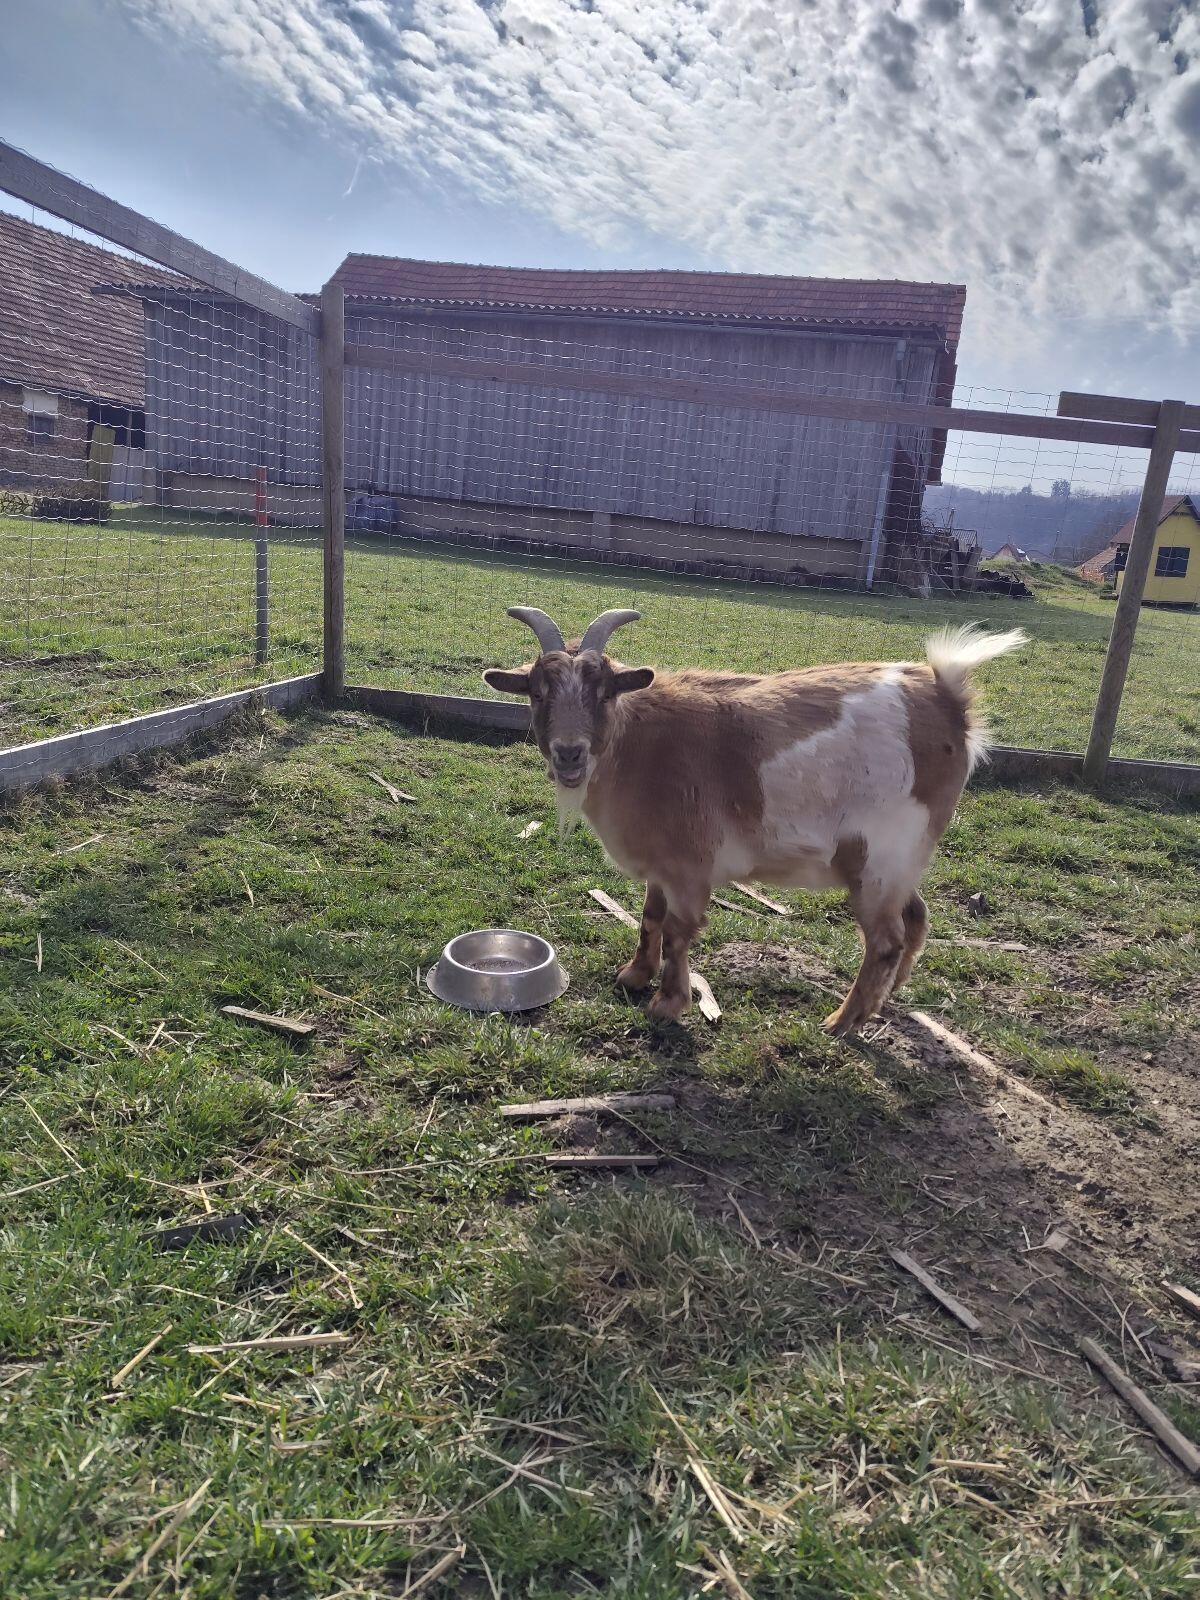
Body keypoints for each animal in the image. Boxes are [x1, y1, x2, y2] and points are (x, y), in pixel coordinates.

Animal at [484, 607, 1025, 1033]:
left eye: (604, 693)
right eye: (537, 692)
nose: (569, 753)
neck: (637, 746)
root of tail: (947, 699)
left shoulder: (689, 865)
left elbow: (678, 929)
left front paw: (668, 1003)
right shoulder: (662, 863)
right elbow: (650, 915)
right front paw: (634, 975)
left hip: (882, 855)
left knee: (885, 941)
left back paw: (842, 1022)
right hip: (896, 862)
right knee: (916, 917)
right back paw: (882, 1001)